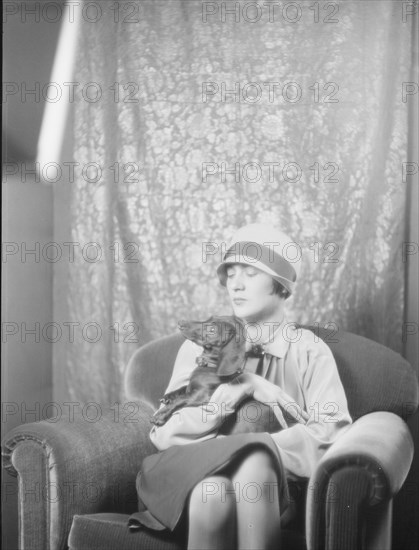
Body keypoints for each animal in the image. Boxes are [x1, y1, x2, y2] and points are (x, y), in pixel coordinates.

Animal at [150, 320, 282, 436]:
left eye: (212, 329)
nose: (181, 322)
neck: (210, 365)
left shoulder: (201, 395)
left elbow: (181, 399)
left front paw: (160, 414)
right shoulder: (193, 387)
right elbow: (184, 387)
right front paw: (169, 396)